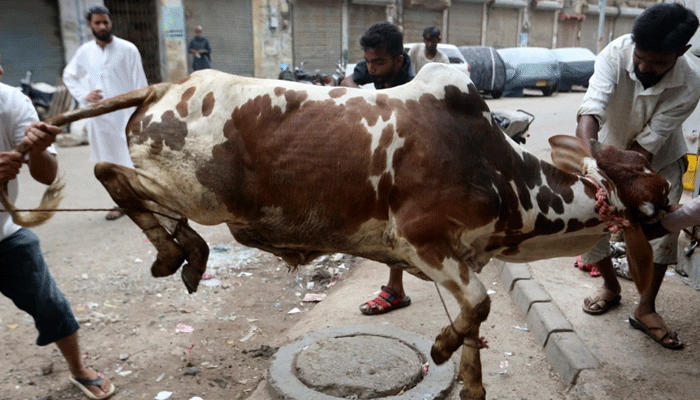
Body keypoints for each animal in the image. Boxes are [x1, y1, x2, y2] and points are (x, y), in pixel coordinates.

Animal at [1, 64, 696, 398]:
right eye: (660, 191)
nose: (685, 213)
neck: (504, 174)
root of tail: (166, 84)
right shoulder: (426, 241)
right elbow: (479, 305)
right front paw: (438, 349)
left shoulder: (462, 257)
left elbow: (476, 324)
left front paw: (467, 375)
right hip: (196, 191)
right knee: (109, 173)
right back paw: (180, 254)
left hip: (187, 191)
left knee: (136, 194)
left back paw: (184, 254)